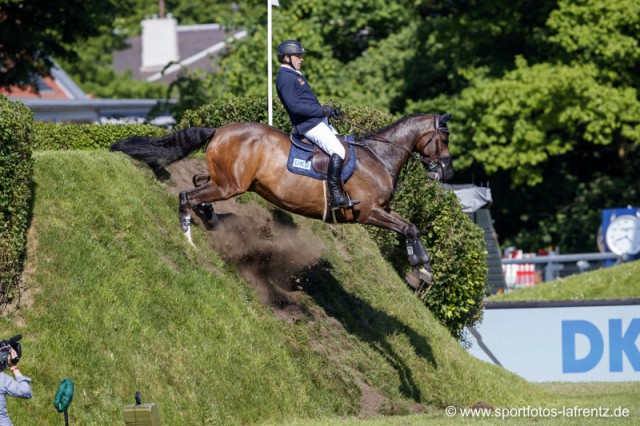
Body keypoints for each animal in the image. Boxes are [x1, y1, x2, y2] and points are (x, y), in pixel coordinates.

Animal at [110, 113, 452, 284]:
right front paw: (420, 269)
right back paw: (189, 239)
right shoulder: (368, 212)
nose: (445, 172)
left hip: (227, 182)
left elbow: (409, 227)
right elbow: (410, 228)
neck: (378, 156)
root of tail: (220, 129)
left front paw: (421, 267)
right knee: (186, 194)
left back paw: (212, 219)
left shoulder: (382, 209)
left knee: (197, 185)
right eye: (445, 137)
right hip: (230, 185)